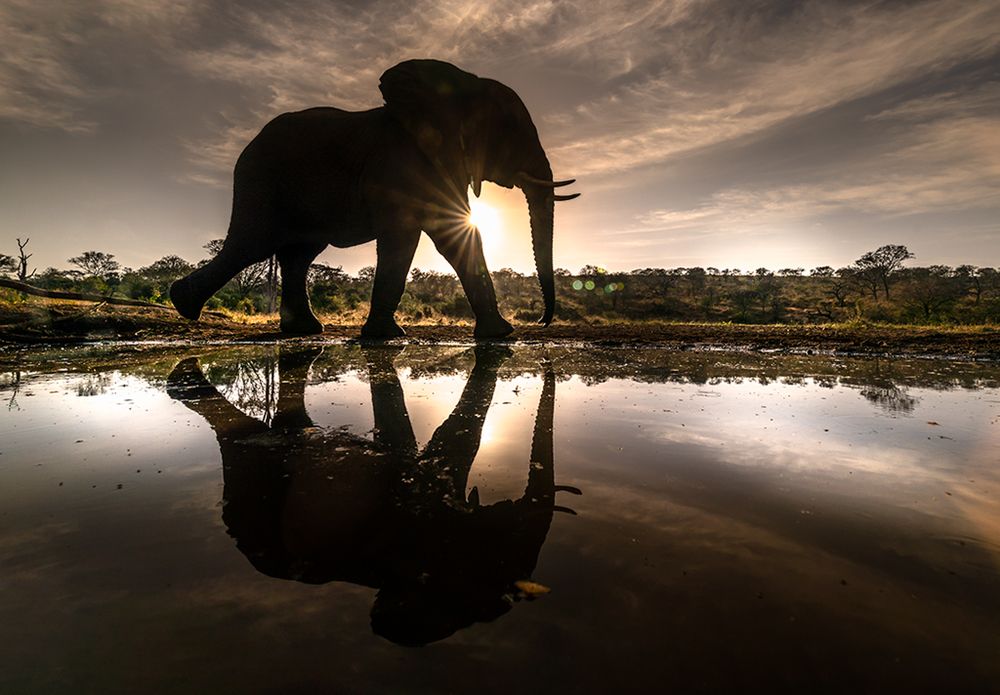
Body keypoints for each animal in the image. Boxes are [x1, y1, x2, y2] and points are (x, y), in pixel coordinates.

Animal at [169, 59, 580, 338]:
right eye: (512, 132)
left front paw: (500, 333)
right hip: (261, 179)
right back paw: (182, 304)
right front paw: (387, 336)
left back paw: (304, 330)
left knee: (298, 253)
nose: (542, 322)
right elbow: (405, 237)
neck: (458, 88)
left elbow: (457, 234)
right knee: (252, 244)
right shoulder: (400, 165)